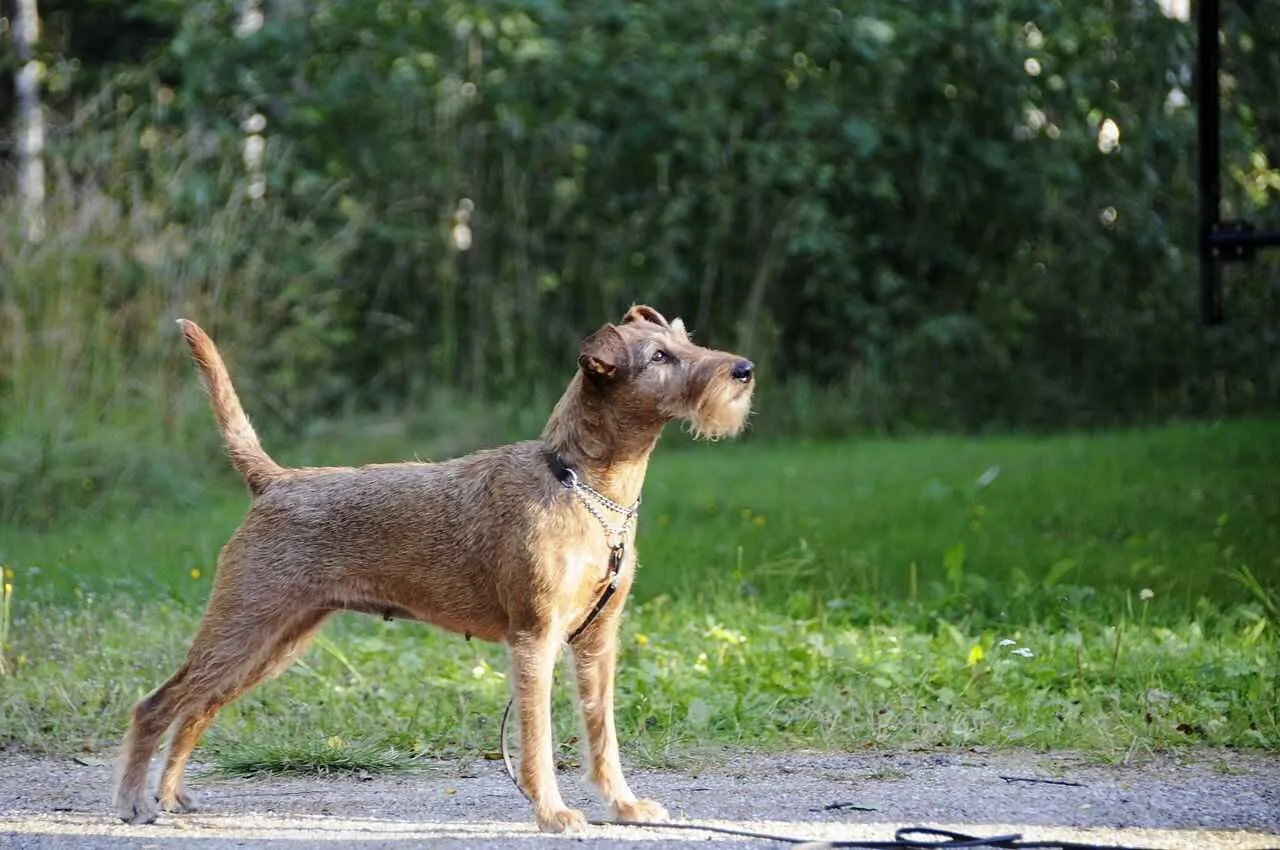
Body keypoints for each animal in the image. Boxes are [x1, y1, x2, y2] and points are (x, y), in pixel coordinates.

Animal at [115, 303, 752, 829]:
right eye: (660, 357)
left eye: (686, 340)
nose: (743, 368)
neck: (581, 482)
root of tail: (274, 480)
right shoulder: (535, 639)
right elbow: (538, 742)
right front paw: (553, 814)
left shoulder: (597, 641)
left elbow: (603, 735)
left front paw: (625, 806)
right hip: (245, 625)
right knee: (158, 705)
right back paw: (134, 802)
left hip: (274, 641)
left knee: (196, 708)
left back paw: (172, 794)